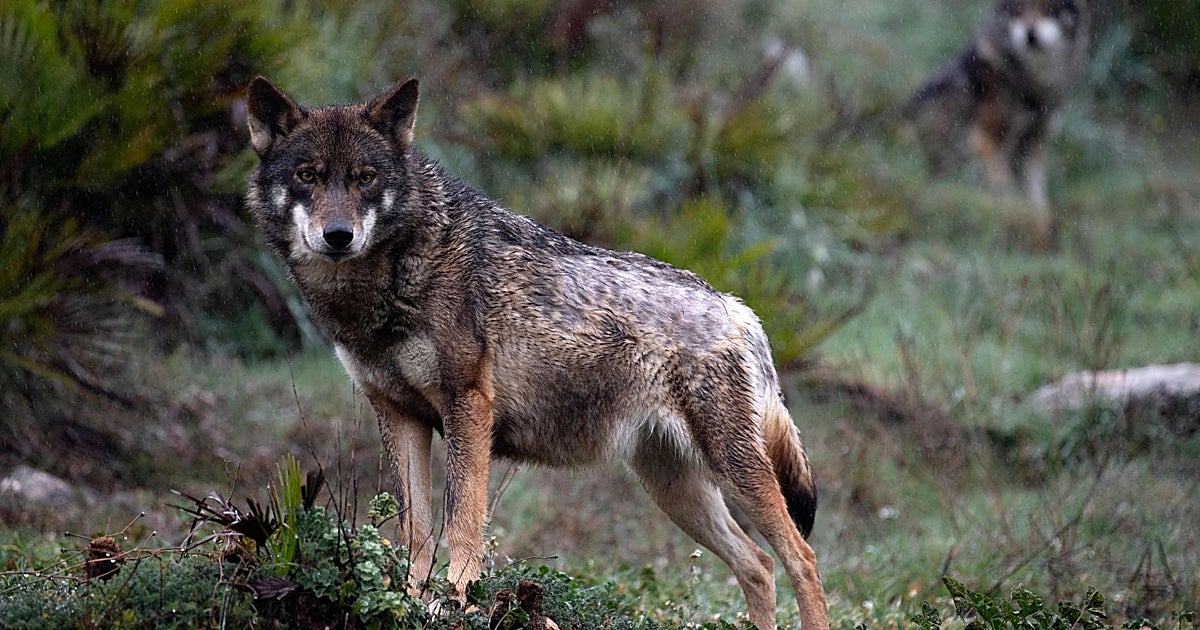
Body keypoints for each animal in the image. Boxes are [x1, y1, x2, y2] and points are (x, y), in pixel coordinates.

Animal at [244, 77, 829, 630]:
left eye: (365, 178)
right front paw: (409, 601)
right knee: (758, 565)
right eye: (308, 176)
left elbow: (462, 524)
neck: (389, 281)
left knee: (801, 558)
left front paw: (457, 603)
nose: (338, 235)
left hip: (733, 473)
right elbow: (417, 534)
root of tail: (735, 305)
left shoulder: (468, 406)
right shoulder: (398, 414)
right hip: (675, 490)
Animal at [904, 0, 1091, 241]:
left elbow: (1039, 202)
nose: (1030, 35)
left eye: (1047, 8)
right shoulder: (987, 140)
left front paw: (1041, 236)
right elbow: (1006, 190)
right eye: (1019, 9)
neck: (1034, 83)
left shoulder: (1033, 146)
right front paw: (1012, 225)